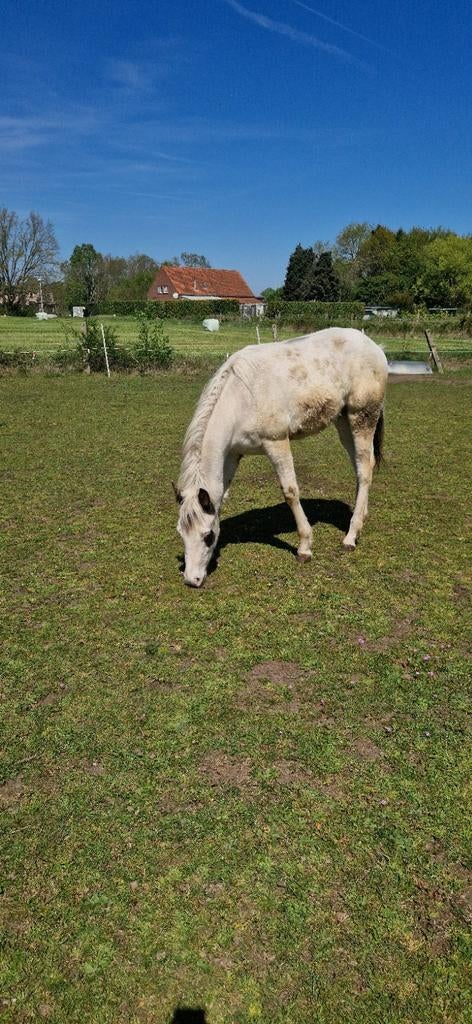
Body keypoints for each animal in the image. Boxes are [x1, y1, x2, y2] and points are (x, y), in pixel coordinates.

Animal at [174, 327, 388, 587]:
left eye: (208, 535)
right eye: (181, 533)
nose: (191, 580)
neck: (241, 397)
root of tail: (373, 346)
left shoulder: (276, 442)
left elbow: (290, 491)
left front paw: (305, 547)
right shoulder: (233, 454)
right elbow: (220, 494)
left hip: (362, 416)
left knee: (364, 470)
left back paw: (351, 536)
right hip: (343, 420)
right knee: (361, 464)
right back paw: (361, 515)